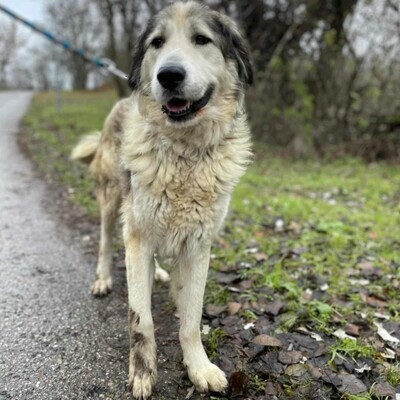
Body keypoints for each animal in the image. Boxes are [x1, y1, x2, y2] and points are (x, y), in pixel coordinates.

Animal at [71, 1, 253, 398]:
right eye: (157, 43)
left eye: (202, 39)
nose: (168, 75)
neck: (184, 153)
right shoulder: (138, 233)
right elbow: (142, 320)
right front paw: (143, 372)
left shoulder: (199, 245)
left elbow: (191, 320)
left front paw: (199, 368)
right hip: (112, 202)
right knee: (106, 242)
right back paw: (103, 278)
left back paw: (155, 271)